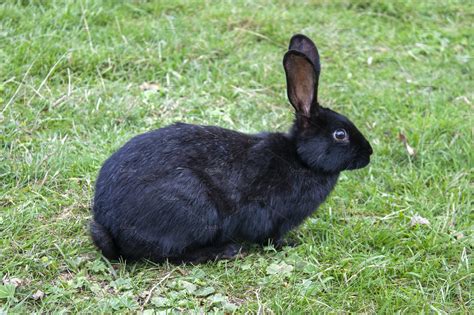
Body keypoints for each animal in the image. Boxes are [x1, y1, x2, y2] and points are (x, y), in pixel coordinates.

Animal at [90, 34, 372, 264]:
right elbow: (270, 237)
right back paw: (225, 251)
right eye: (340, 134)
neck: (301, 159)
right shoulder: (270, 216)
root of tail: (110, 225)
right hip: (197, 211)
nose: (368, 154)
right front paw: (290, 244)